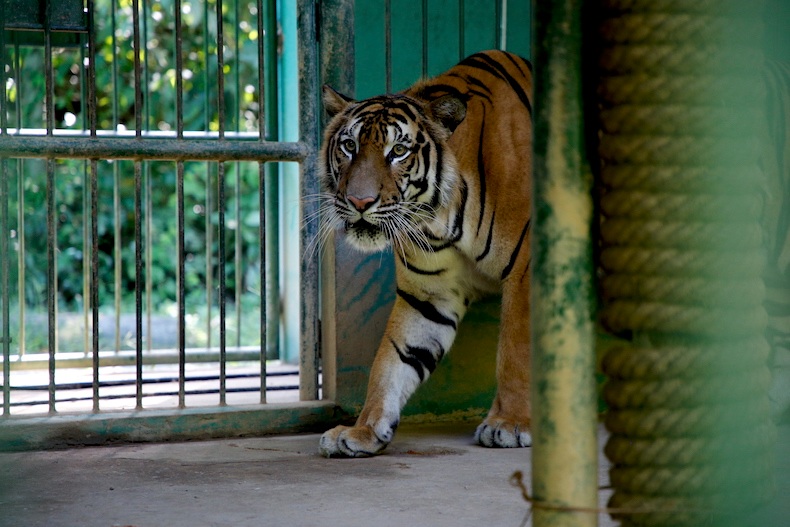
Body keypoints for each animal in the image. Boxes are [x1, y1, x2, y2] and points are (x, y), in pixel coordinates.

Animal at [316, 51, 532, 460]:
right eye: (349, 146)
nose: (359, 202)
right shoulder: (429, 295)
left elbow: (515, 350)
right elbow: (392, 361)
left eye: (398, 152)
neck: (441, 216)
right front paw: (362, 430)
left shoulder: (527, 271)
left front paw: (509, 424)